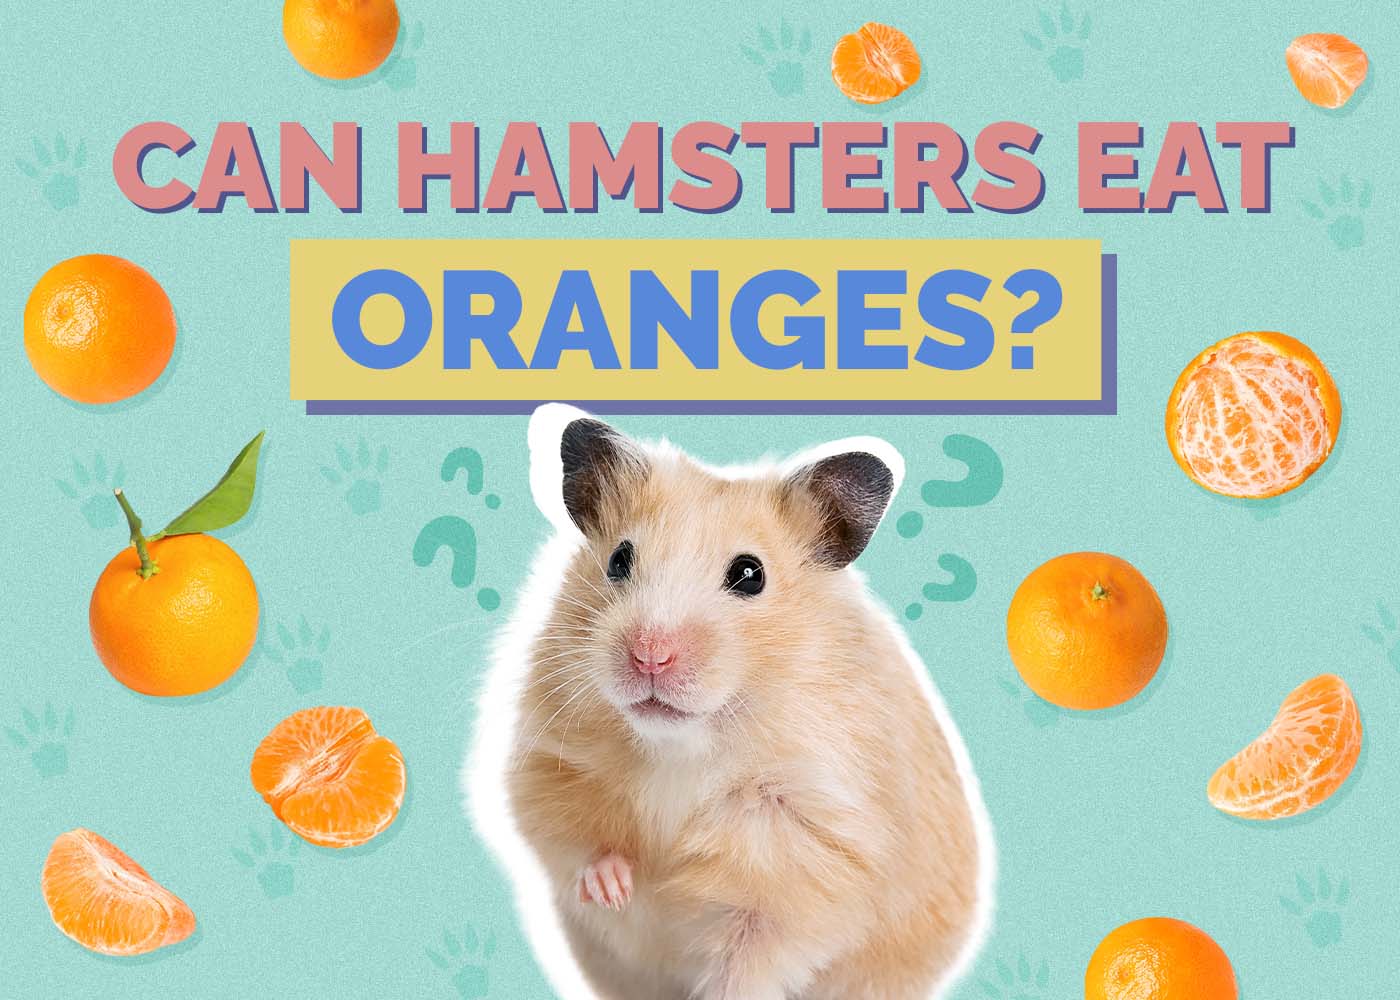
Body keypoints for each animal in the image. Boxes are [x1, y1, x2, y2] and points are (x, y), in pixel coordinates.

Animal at [469, 405, 993, 1000]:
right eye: (619, 559)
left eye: (750, 574)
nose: (650, 656)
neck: (682, 745)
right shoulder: (549, 763)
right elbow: (572, 841)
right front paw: (615, 888)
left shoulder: (810, 850)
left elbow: (752, 953)